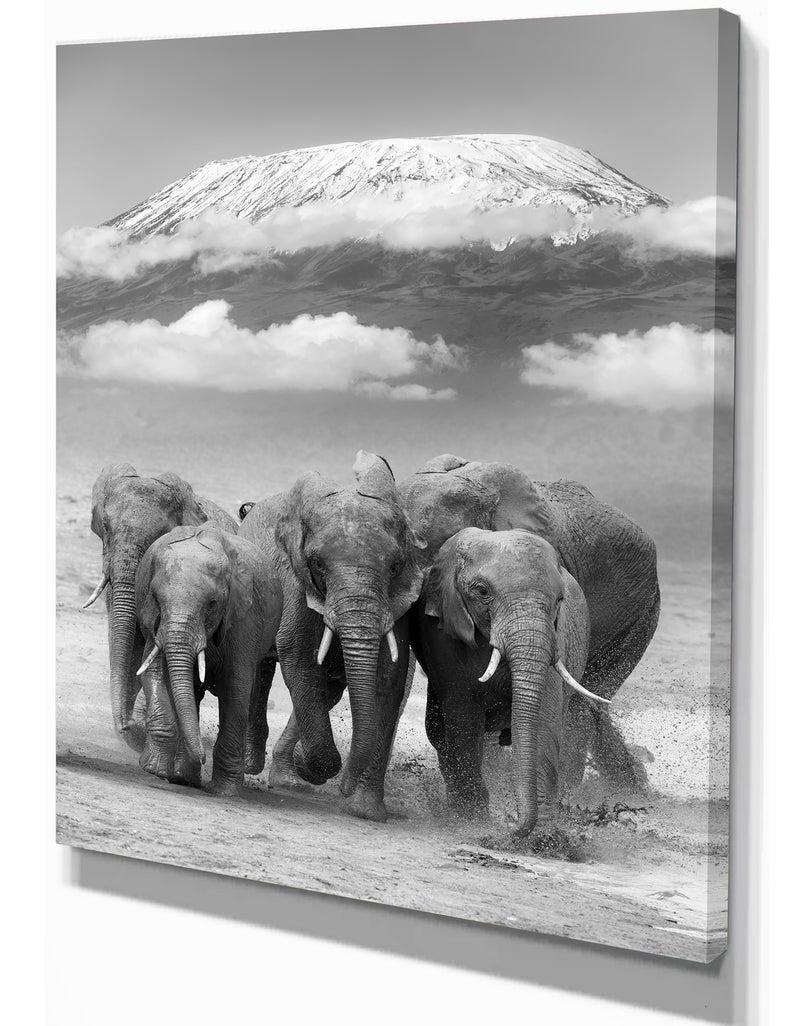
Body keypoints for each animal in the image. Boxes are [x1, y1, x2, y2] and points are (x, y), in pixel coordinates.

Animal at [134, 523, 282, 794]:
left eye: (212, 604)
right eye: (156, 599)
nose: (203, 758)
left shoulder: (244, 618)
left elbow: (236, 687)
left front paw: (224, 791)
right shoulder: (153, 620)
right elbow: (154, 672)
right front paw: (155, 770)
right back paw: (183, 776)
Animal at [239, 450, 425, 821]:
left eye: (395, 567)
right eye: (317, 565)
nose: (344, 789)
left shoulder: (396, 602)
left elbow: (388, 677)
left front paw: (365, 811)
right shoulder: (294, 580)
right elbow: (298, 654)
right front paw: (317, 768)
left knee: (329, 688)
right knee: (261, 668)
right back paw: (252, 767)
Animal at [414, 527, 601, 835]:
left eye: (559, 600)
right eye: (482, 591)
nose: (510, 824)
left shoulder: (554, 640)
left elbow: (543, 720)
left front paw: (544, 837)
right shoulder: (443, 635)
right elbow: (462, 718)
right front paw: (473, 819)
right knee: (440, 732)